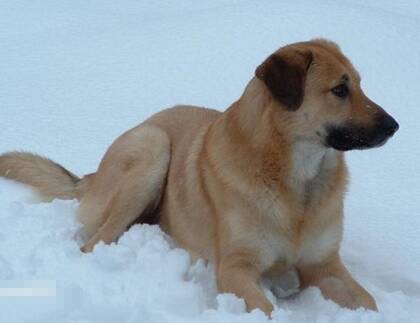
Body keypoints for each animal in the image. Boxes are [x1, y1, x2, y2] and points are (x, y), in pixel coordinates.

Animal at [0, 39, 398, 316]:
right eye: (340, 90)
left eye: (359, 85)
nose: (394, 126)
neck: (298, 182)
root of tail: (92, 175)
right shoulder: (236, 269)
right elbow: (266, 309)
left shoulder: (325, 267)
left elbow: (369, 302)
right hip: (153, 149)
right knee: (94, 242)